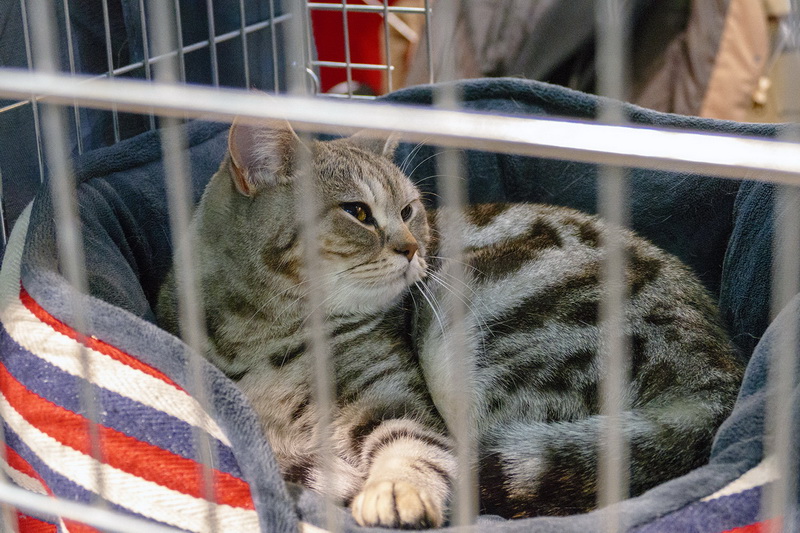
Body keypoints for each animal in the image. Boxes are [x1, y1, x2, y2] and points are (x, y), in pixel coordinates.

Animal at [157, 119, 744, 528]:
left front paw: (394, 494)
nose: (414, 248)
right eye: (358, 212)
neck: (262, 337)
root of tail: (719, 377)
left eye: (409, 210)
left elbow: (413, 449)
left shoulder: (395, 397)